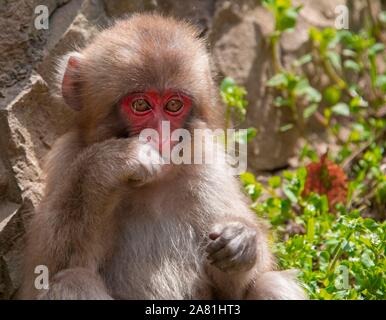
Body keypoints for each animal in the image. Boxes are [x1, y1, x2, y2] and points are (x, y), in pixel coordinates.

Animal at [18, 13, 308, 300]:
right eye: (141, 105)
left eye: (173, 105)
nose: (162, 134)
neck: (153, 185)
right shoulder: (66, 158)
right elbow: (46, 270)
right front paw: (116, 161)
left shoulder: (208, 163)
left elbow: (237, 287)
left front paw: (243, 240)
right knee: (73, 281)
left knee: (271, 283)